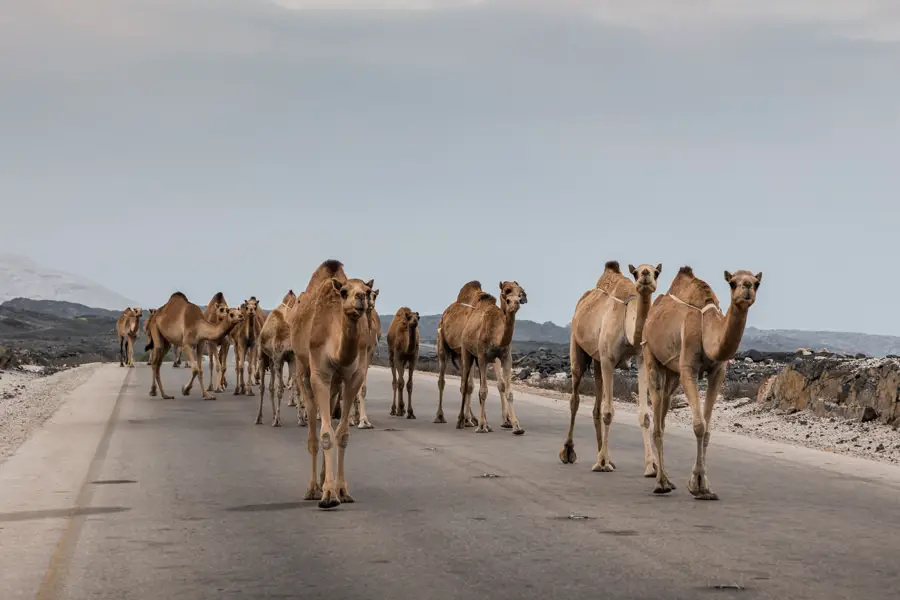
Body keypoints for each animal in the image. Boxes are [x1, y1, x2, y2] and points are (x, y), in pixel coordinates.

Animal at [256, 290, 302, 426]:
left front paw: (301, 419)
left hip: (272, 362)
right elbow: (280, 389)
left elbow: (297, 387)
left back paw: (273, 416)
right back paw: (259, 418)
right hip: (263, 357)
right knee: (263, 387)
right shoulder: (278, 359)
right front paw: (277, 421)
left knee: (270, 387)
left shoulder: (292, 359)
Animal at [288, 260, 372, 508]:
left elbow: (342, 434)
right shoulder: (320, 374)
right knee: (313, 433)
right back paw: (312, 489)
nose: (360, 298)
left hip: (335, 385)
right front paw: (327, 495)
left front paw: (341, 490)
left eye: (368, 290)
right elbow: (325, 435)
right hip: (302, 370)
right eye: (343, 291)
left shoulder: (353, 377)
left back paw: (327, 479)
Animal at [458, 282, 528, 436]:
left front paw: (516, 426)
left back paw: (486, 424)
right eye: (507, 294)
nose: (516, 303)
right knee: (466, 384)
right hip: (466, 351)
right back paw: (463, 421)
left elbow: (508, 391)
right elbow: (483, 391)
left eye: (520, 293)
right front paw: (481, 426)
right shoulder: (482, 356)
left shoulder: (506, 357)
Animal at [564, 260, 660, 476]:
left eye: (657, 272)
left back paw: (603, 455)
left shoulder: (641, 359)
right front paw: (603, 463)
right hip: (577, 347)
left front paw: (651, 467)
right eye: (635, 272)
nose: (646, 274)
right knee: (575, 398)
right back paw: (569, 452)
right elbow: (608, 413)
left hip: (597, 361)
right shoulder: (608, 360)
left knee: (596, 407)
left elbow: (645, 415)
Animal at [644, 264, 764, 500]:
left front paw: (704, 487)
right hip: (651, 356)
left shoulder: (718, 372)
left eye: (756, 283)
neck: (707, 328)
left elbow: (707, 429)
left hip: (671, 374)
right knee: (657, 417)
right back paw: (661, 483)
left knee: (663, 411)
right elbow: (699, 425)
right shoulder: (688, 369)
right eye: (732, 283)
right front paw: (697, 484)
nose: (746, 288)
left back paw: (668, 480)